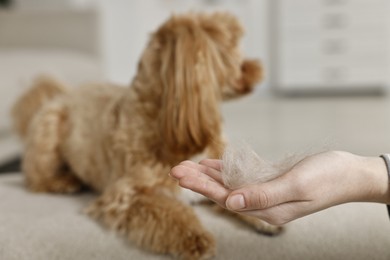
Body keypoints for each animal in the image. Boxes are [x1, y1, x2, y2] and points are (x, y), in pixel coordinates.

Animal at [12, 12, 278, 260]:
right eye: (233, 44)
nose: (258, 67)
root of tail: (61, 94)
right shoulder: (129, 195)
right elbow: (170, 212)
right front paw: (195, 238)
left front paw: (263, 217)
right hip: (48, 131)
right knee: (35, 177)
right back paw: (62, 181)